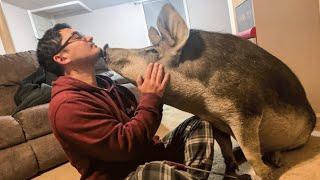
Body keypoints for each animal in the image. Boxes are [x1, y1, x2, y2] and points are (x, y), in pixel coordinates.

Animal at [104, 3, 316, 179]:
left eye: (152, 51)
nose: (105, 47)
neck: (204, 105)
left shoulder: (246, 110)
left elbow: (251, 151)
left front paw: (267, 175)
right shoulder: (216, 121)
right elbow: (226, 150)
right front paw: (231, 172)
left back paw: (277, 161)